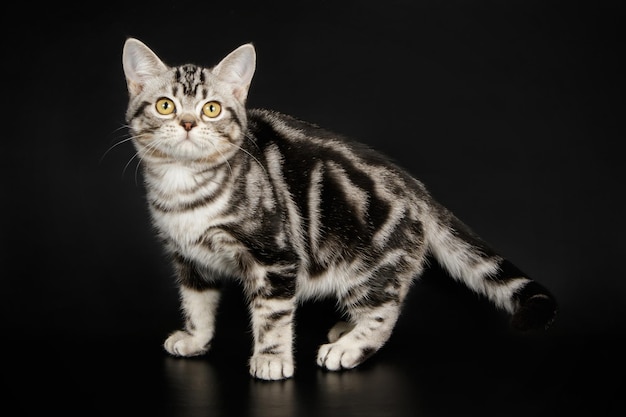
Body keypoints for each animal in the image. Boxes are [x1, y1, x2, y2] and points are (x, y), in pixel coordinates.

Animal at [120, 37, 556, 378]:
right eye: (164, 105)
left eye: (211, 108)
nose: (188, 123)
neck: (184, 187)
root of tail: (417, 188)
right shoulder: (189, 258)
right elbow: (197, 302)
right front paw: (196, 339)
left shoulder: (275, 258)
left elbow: (272, 314)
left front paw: (272, 359)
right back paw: (345, 330)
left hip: (370, 265)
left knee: (384, 312)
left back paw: (348, 347)